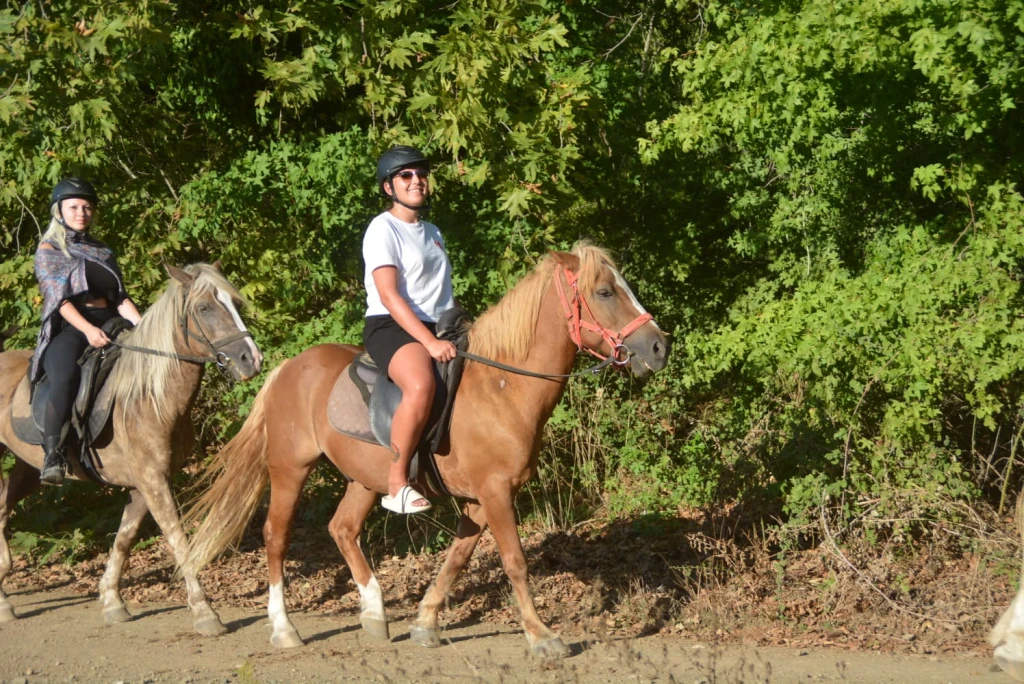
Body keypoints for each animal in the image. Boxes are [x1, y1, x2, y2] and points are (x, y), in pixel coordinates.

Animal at [0, 263, 262, 635]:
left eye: (235, 303)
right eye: (204, 308)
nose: (251, 360)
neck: (148, 398)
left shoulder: (144, 484)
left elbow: (124, 539)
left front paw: (112, 601)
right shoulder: (153, 482)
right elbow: (178, 540)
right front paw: (205, 612)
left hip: (27, 466)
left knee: (2, 506)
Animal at [181, 242, 670, 657]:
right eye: (604, 291)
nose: (659, 347)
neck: (503, 386)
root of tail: (287, 367)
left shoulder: (479, 500)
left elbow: (456, 559)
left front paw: (425, 622)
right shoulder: (496, 494)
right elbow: (514, 561)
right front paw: (541, 636)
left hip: (364, 479)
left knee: (342, 529)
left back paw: (375, 613)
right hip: (289, 470)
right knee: (276, 537)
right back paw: (284, 628)